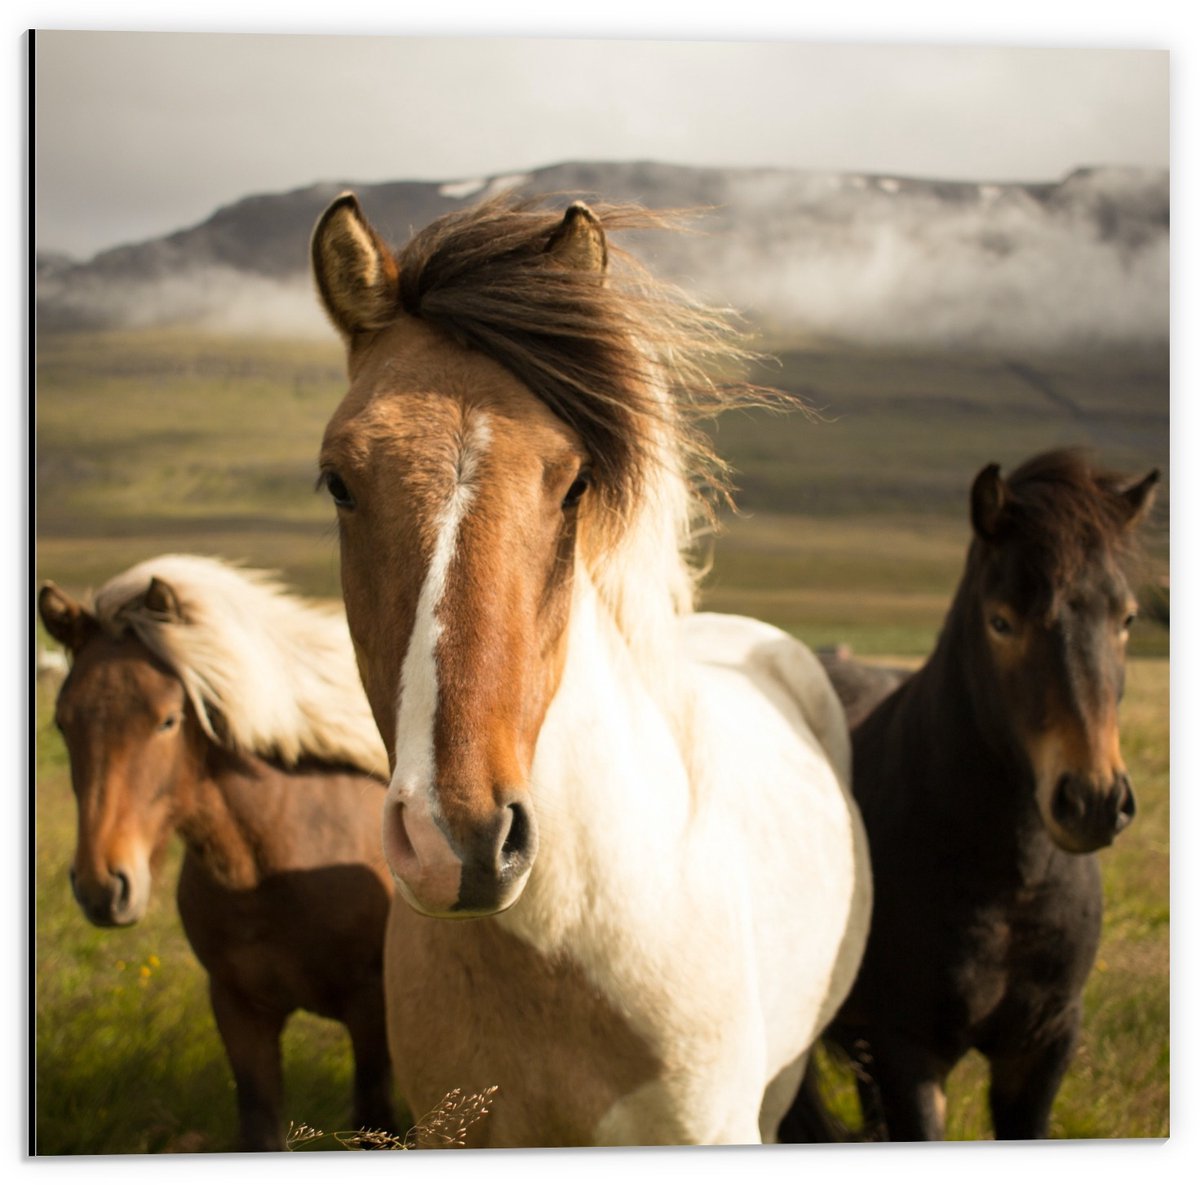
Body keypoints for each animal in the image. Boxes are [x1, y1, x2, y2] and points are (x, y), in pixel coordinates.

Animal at [38, 555, 397, 1152]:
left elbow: (378, 1122)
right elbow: (260, 1126)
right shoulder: (238, 1010)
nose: (101, 887)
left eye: (167, 719)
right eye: (63, 722)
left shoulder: (371, 1011)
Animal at [779, 449, 1159, 1142]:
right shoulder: (909, 1053)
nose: (1092, 800)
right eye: (1001, 620)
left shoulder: (1041, 1049)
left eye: (1127, 618)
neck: (1010, 882)